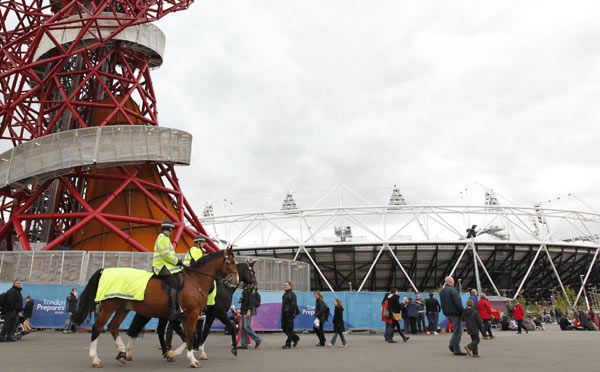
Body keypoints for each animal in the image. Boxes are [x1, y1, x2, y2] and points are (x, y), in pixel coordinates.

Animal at [72, 246, 237, 368]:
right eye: (230, 262)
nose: (235, 280)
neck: (195, 280)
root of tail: (104, 270)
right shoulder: (193, 313)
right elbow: (190, 334)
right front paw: (192, 360)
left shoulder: (187, 316)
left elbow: (188, 335)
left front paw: (175, 353)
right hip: (109, 307)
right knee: (98, 327)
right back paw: (95, 359)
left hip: (123, 308)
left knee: (113, 327)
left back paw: (123, 353)